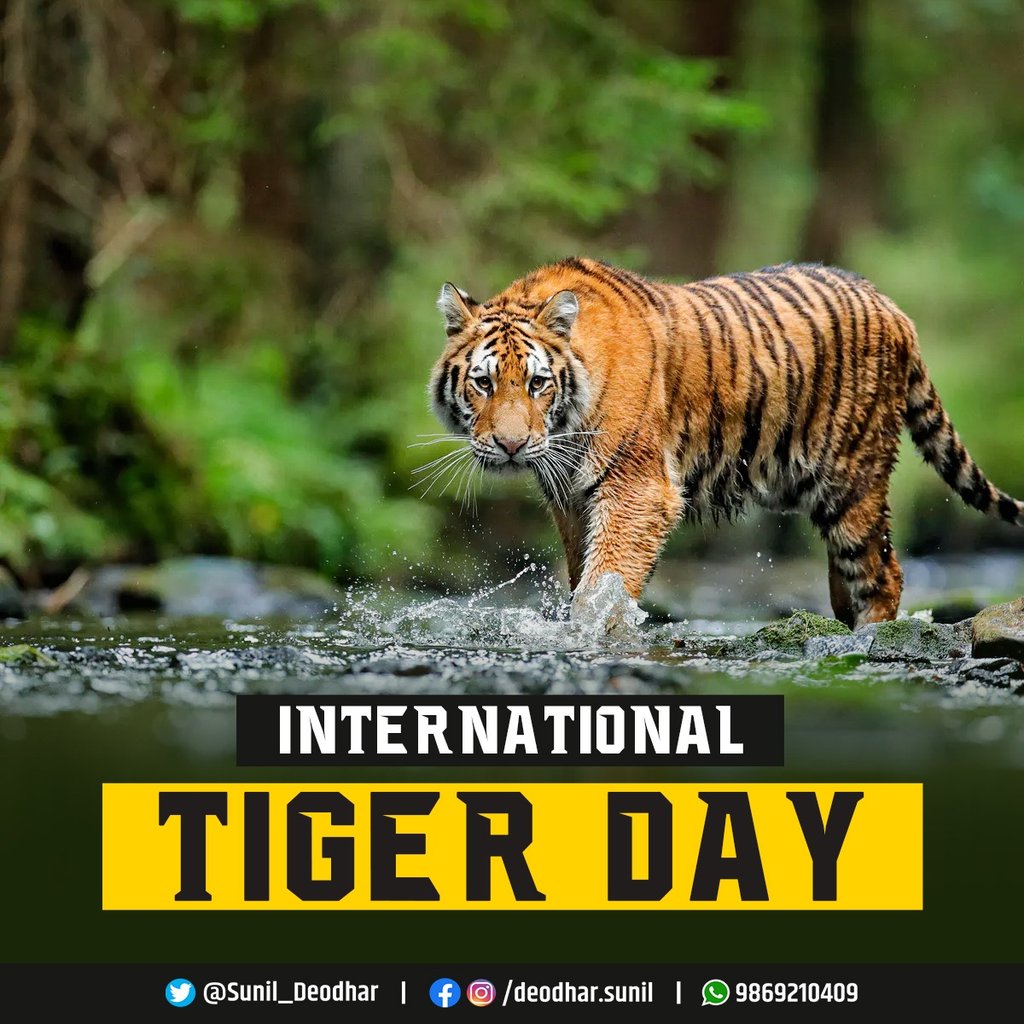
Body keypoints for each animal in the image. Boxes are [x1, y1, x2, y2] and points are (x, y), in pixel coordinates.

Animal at [426, 256, 1023, 629]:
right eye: (483, 383)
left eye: (536, 383)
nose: (509, 445)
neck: (566, 424)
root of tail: (892, 306)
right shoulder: (572, 499)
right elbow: (583, 576)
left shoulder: (637, 489)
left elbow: (603, 583)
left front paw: (591, 632)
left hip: (854, 480)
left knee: (882, 574)